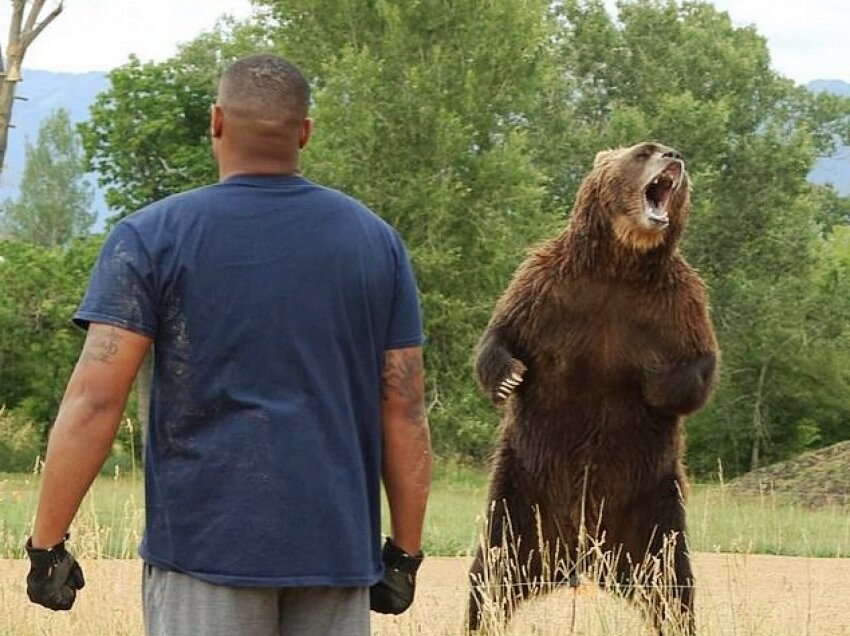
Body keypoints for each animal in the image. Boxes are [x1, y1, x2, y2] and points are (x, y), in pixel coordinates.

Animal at [468, 142, 720, 632]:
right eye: (644, 151)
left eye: (664, 151)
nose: (674, 156)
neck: (621, 263)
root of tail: (582, 556)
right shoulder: (549, 289)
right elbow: (502, 332)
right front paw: (509, 376)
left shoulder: (676, 304)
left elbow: (700, 365)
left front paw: (655, 382)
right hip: (523, 495)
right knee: (494, 571)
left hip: (653, 509)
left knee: (671, 584)